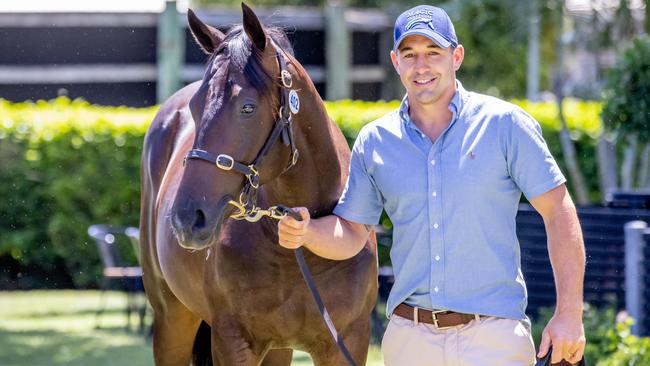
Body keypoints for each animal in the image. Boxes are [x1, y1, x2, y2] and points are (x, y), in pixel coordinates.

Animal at [139, 3, 378, 366]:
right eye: (195, 107)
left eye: (247, 107)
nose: (187, 219)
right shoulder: (232, 339)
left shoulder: (348, 341)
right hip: (172, 319)